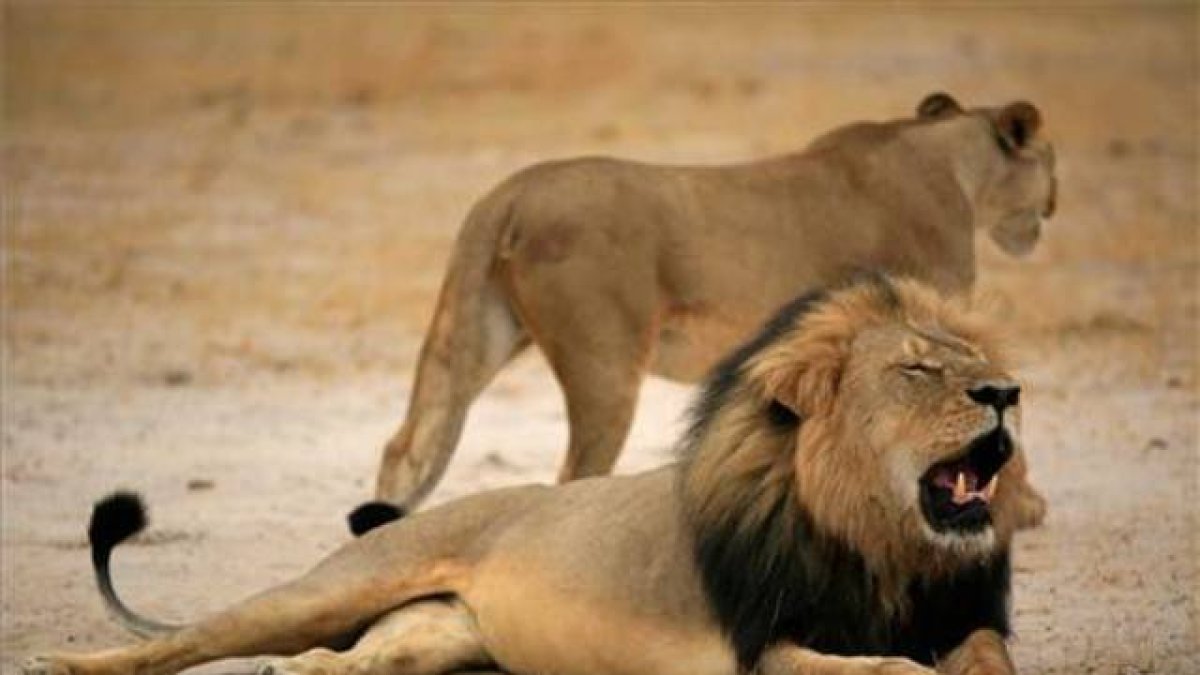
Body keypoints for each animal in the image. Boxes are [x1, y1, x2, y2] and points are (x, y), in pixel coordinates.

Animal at [27, 275, 1037, 675]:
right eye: (918, 370)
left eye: (974, 361)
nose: (1006, 392)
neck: (882, 544)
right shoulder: (767, 646)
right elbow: (878, 668)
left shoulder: (960, 616)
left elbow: (983, 654)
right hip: (334, 585)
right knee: (185, 640)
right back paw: (66, 662)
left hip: (431, 640)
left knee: (331, 661)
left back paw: (289, 672)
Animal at [361, 92, 1055, 531]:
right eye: (1050, 158)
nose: (1051, 205)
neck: (951, 161)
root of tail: (507, 194)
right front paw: (1020, 506)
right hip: (604, 363)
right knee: (573, 474)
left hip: (474, 332)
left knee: (408, 446)